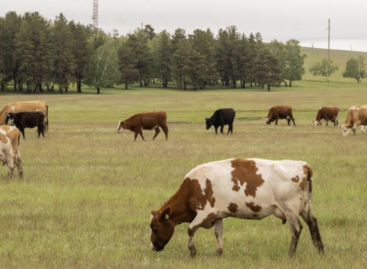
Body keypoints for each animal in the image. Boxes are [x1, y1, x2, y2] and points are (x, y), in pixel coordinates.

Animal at [150, 157, 324, 255]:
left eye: (154, 227)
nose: (153, 246)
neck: (192, 187)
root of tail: (302, 165)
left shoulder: (205, 212)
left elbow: (191, 229)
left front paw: (193, 250)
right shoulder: (218, 214)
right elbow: (218, 233)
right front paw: (219, 252)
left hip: (290, 209)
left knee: (296, 229)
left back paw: (291, 254)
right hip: (305, 208)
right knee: (313, 223)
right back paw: (321, 250)